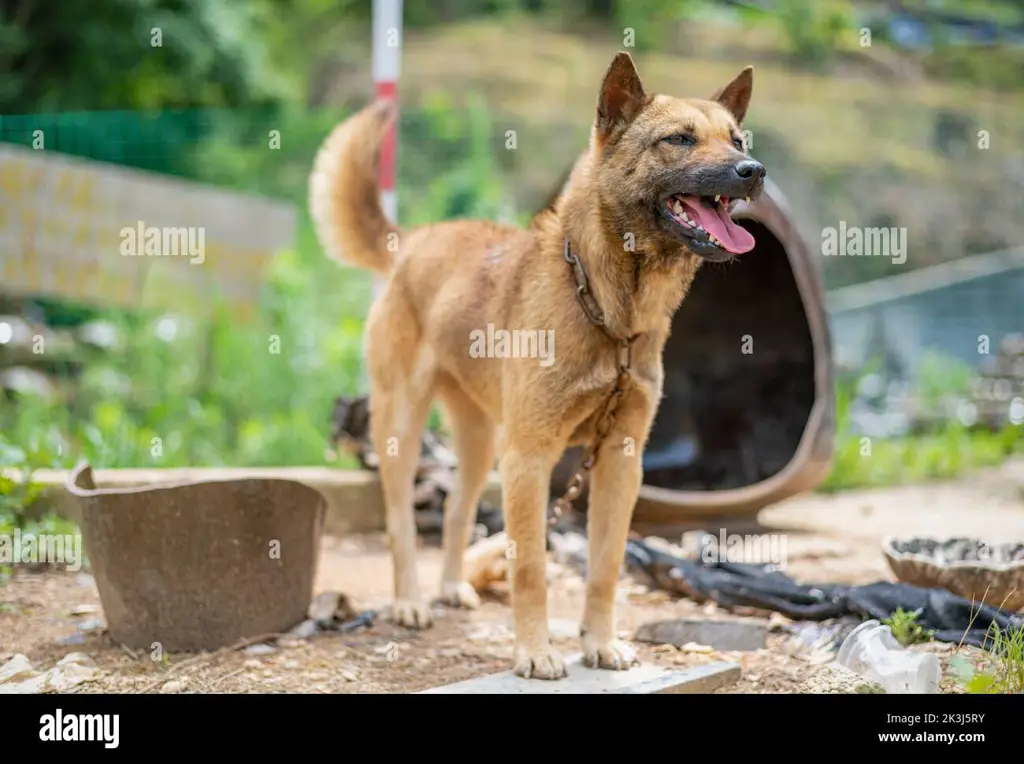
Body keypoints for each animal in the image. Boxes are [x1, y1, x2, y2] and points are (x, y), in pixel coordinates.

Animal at [307, 50, 765, 675]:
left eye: (737, 139)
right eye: (679, 139)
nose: (754, 170)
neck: (606, 311)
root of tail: (414, 240)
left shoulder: (619, 462)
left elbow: (605, 567)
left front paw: (599, 643)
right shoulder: (531, 459)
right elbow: (528, 568)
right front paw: (535, 652)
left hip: (481, 446)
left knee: (456, 513)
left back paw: (450, 587)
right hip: (404, 429)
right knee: (401, 523)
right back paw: (409, 603)